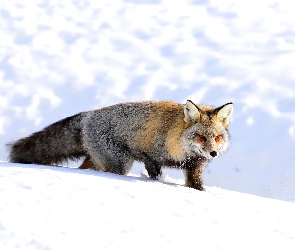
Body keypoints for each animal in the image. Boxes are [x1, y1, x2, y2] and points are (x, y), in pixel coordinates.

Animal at [5, 100, 235, 190]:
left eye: (217, 137)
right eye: (201, 136)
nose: (213, 153)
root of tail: (89, 115)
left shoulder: (194, 167)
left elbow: (196, 186)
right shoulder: (150, 156)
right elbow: (155, 176)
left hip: (98, 159)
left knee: (84, 168)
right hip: (120, 162)